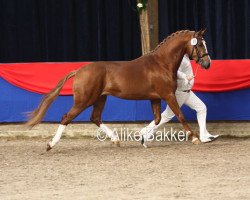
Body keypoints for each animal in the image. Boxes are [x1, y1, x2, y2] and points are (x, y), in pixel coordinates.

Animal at [26, 29, 211, 150]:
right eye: (200, 44)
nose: (207, 64)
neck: (161, 63)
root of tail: (78, 70)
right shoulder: (168, 95)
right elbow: (180, 115)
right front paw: (195, 138)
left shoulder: (155, 97)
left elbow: (158, 119)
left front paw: (142, 138)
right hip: (84, 100)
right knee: (66, 117)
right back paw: (51, 144)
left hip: (100, 98)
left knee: (95, 117)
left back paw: (115, 140)